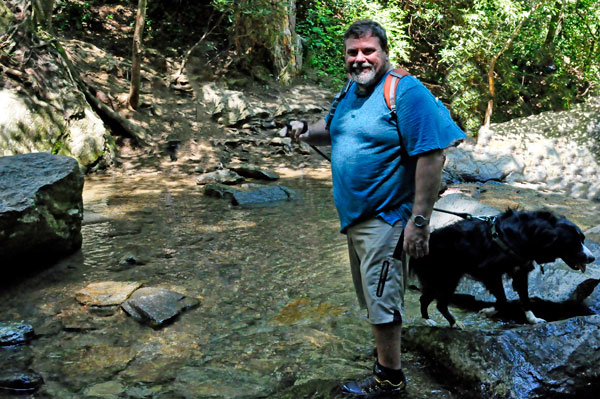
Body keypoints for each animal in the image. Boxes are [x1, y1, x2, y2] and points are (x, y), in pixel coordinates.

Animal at [408, 209, 596, 328]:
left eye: (583, 239)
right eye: (573, 243)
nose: (592, 258)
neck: (528, 235)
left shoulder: (521, 271)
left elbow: (525, 299)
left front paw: (533, 319)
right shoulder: (490, 272)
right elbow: (504, 300)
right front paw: (488, 311)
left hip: (440, 279)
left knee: (424, 299)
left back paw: (428, 320)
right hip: (447, 278)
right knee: (439, 304)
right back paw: (453, 323)